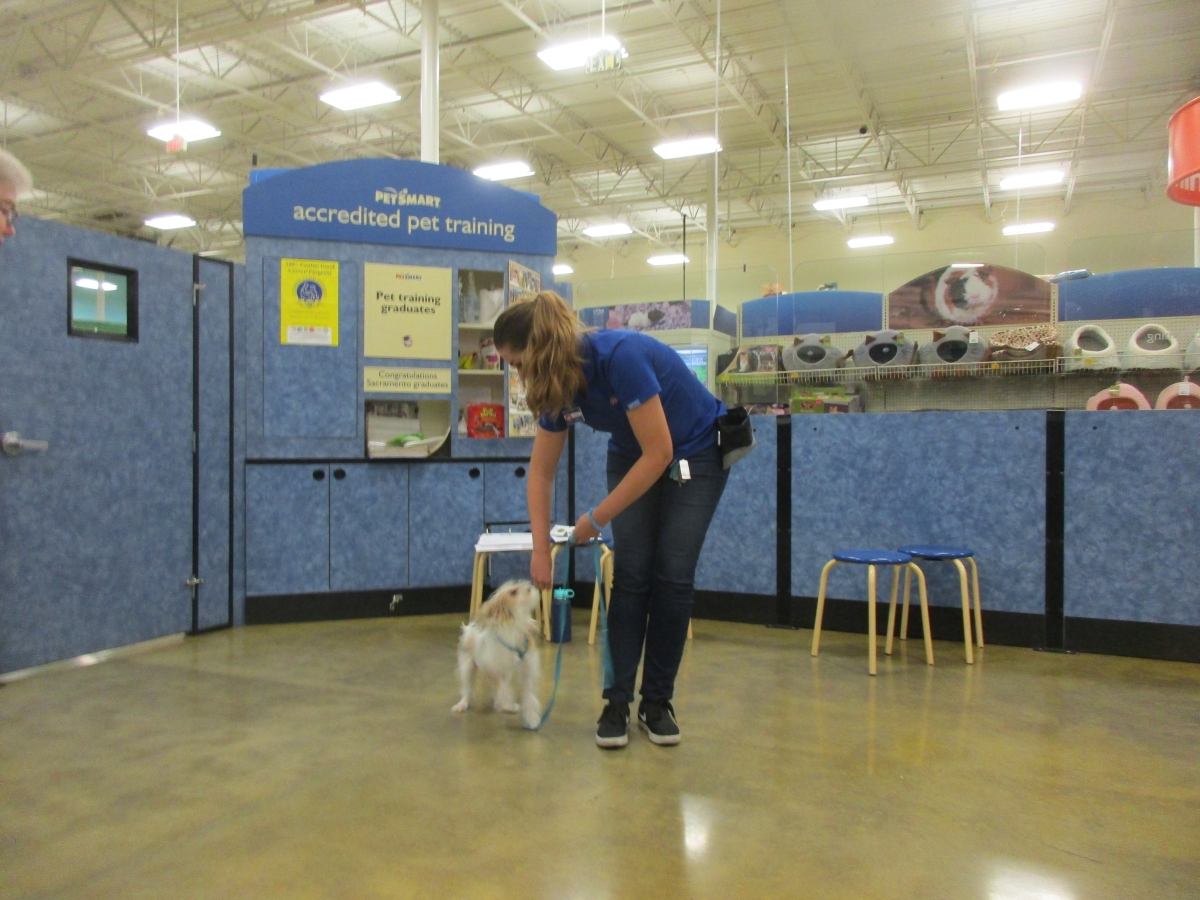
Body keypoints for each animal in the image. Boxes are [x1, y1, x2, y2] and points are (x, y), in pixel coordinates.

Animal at [451, 580, 543, 730]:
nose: (529, 588)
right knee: (467, 689)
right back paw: (462, 705)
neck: (514, 624)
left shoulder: (527, 667)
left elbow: (528, 695)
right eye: (513, 592)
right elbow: (503, 688)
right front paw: (508, 705)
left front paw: (531, 719)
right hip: (467, 667)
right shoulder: (494, 667)